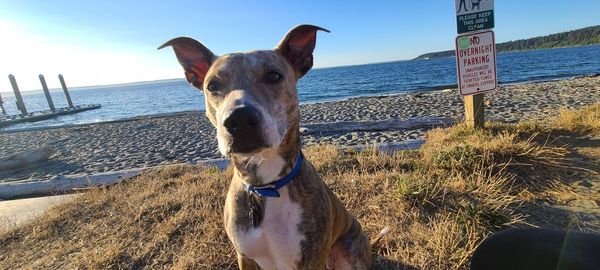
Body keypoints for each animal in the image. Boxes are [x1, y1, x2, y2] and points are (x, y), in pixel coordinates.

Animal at [159, 24, 386, 268]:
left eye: (274, 76)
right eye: (212, 86)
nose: (239, 119)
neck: (266, 186)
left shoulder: (310, 259)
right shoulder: (245, 257)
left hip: (349, 252)